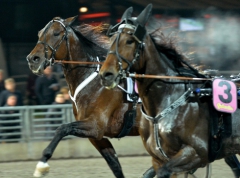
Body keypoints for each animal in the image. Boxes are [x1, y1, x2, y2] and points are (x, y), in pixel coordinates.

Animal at [26, 15, 158, 178]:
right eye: (39, 33)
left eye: (56, 33)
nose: (33, 59)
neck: (92, 82)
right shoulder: (97, 137)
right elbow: (114, 164)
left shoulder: (95, 125)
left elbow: (62, 128)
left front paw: (42, 165)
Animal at [99, 4, 240, 178]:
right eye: (112, 40)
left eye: (130, 41)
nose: (106, 74)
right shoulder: (158, 159)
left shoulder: (196, 153)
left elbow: (166, 170)